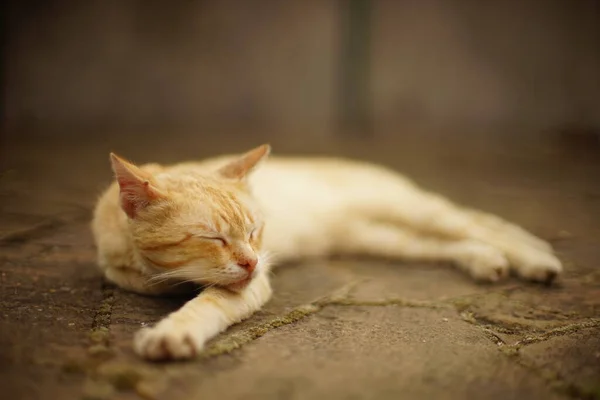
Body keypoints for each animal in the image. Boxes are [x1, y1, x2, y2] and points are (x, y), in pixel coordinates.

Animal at [90, 145, 564, 360]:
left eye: (255, 231)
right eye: (213, 239)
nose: (252, 260)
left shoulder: (251, 285)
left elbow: (204, 305)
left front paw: (171, 334)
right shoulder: (119, 271)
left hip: (415, 210)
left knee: (483, 223)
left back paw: (538, 260)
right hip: (387, 240)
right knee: (453, 243)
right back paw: (487, 262)